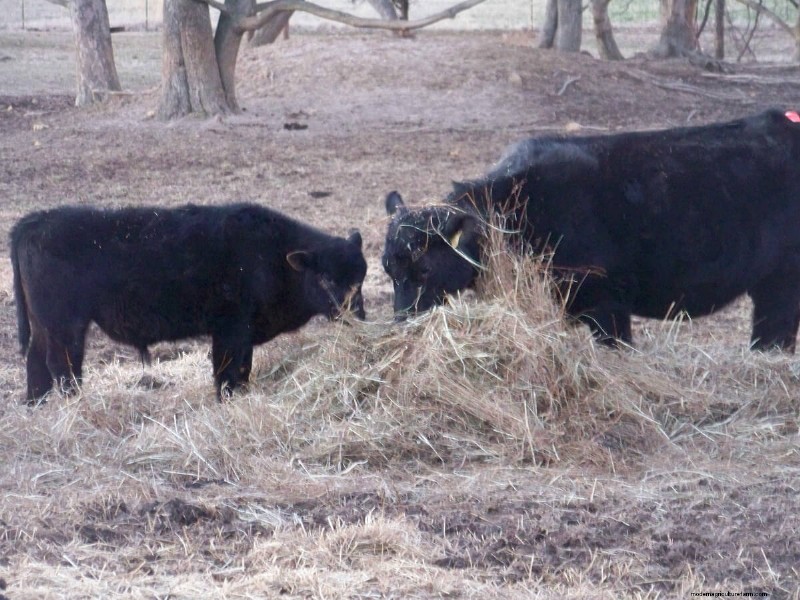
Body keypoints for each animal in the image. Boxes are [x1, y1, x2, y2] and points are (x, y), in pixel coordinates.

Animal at [11, 202, 368, 402]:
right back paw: (73, 404)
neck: (273, 255)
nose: (357, 316)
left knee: (36, 361)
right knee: (62, 365)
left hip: (45, 326)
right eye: (327, 279)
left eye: (361, 277)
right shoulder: (230, 329)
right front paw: (226, 401)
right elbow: (227, 371)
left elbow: (243, 369)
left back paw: (36, 405)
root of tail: (35, 221)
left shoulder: (243, 335)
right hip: (65, 325)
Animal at [382, 109, 800, 351]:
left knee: (776, 330)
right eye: (388, 268)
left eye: (424, 268)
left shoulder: (606, 302)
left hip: (782, 280)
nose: (403, 323)